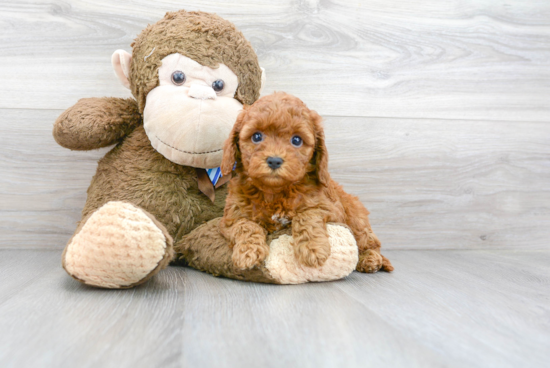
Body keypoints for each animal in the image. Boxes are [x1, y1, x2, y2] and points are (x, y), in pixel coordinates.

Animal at [218, 92, 394, 274]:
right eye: (257, 136)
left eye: (296, 140)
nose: (274, 160)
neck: (275, 192)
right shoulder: (230, 219)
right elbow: (246, 225)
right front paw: (247, 252)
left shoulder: (331, 209)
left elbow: (307, 214)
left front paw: (313, 249)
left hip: (356, 217)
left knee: (370, 242)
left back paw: (370, 259)